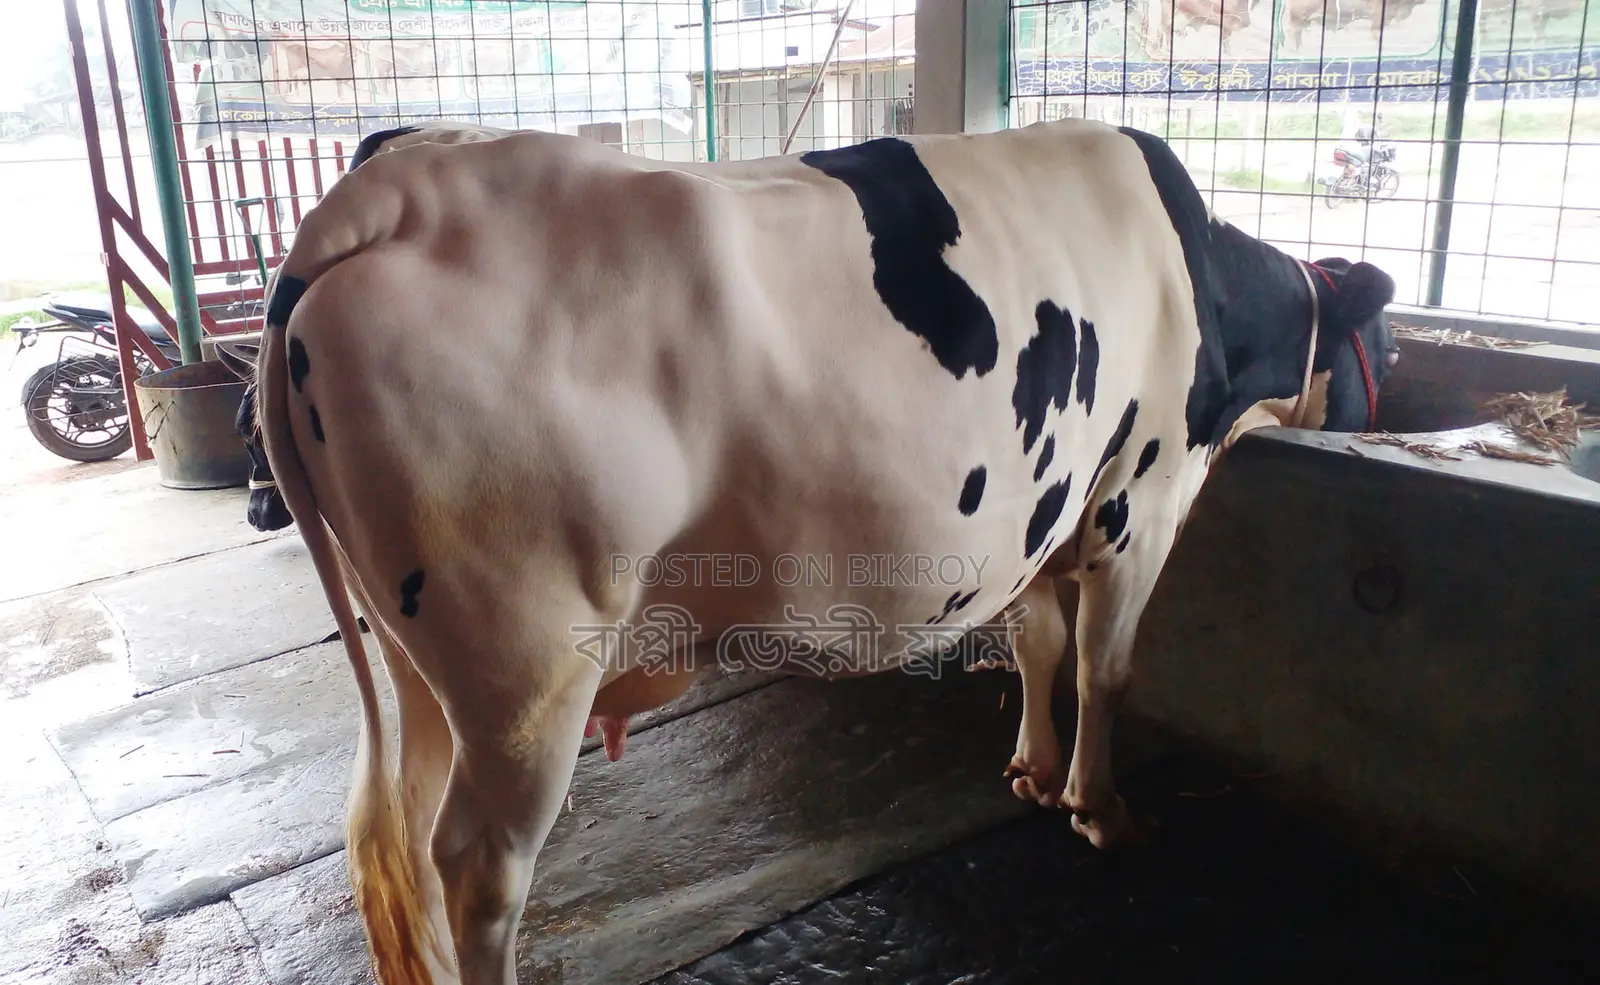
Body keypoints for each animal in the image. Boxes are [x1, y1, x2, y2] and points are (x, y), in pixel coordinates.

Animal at [232, 117, 1399, 984]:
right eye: (1383, 348)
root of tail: (399, 180)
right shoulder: (1139, 494)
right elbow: (1105, 667)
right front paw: (1099, 807)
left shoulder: (1035, 511)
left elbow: (1038, 643)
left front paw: (1030, 768)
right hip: (527, 665)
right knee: (479, 867)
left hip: (421, 656)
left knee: (404, 832)